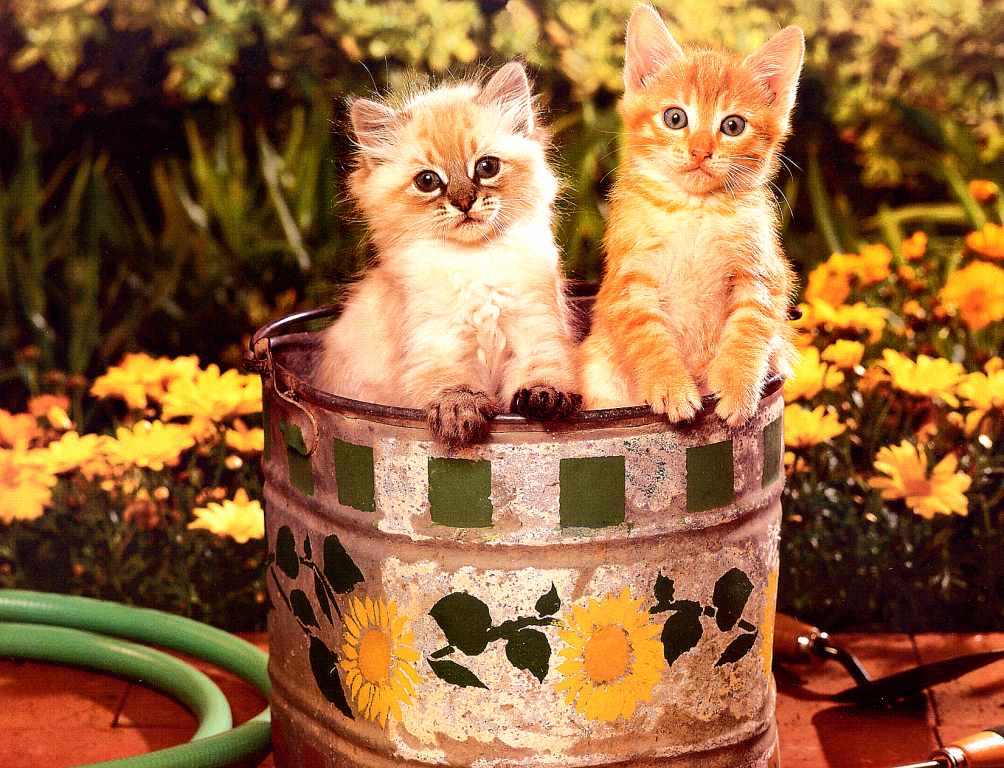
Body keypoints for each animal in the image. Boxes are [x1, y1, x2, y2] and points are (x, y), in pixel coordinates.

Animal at [318, 63, 581, 449]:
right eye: (427, 181)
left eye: (486, 167)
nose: (464, 202)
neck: (475, 265)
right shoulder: (437, 344)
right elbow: (453, 386)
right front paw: (460, 413)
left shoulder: (536, 330)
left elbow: (544, 369)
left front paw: (544, 397)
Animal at [580, 5, 802, 427]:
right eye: (675, 118)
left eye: (733, 125)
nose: (700, 151)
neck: (693, 210)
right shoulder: (630, 282)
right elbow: (649, 338)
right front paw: (670, 385)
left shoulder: (762, 274)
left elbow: (751, 327)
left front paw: (737, 387)